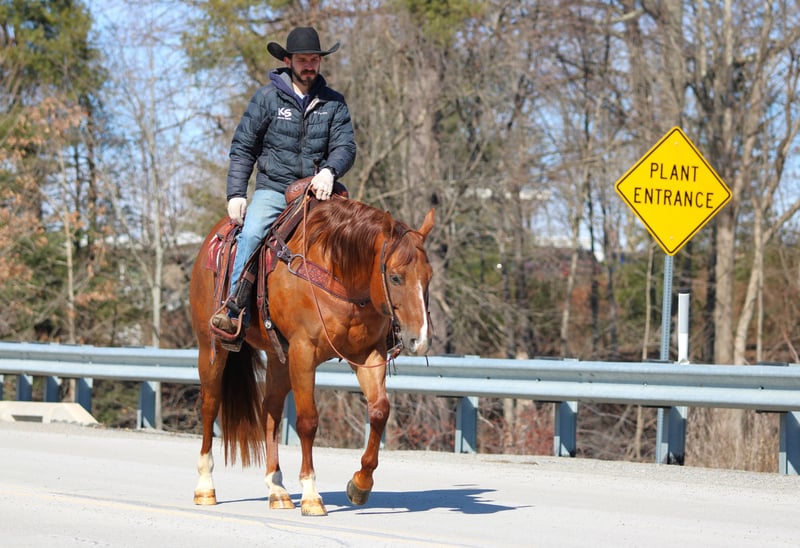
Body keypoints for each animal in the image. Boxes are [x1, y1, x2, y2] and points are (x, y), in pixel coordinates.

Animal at [189, 190, 435, 516]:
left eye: (429, 276)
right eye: (395, 277)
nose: (420, 340)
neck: (339, 274)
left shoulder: (369, 354)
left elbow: (380, 410)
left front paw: (360, 484)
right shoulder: (304, 352)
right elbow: (308, 421)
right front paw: (310, 494)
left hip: (279, 359)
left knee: (270, 411)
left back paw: (277, 489)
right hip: (211, 347)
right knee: (210, 405)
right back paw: (205, 487)